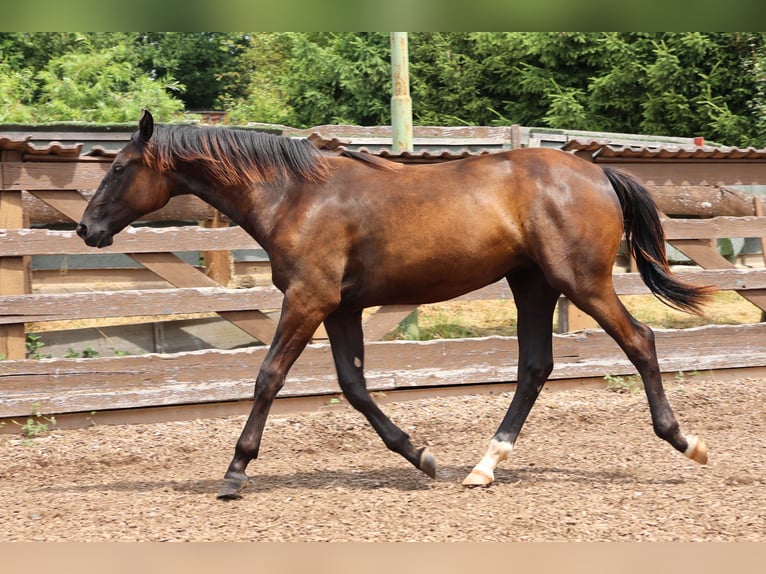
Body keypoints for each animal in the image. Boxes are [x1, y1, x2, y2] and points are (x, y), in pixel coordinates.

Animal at [75, 111, 712, 500]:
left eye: (119, 167)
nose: (86, 229)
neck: (294, 196)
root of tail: (599, 172)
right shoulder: (339, 309)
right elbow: (354, 387)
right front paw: (421, 456)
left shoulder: (307, 300)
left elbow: (268, 377)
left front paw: (234, 473)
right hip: (531, 284)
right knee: (535, 367)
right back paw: (482, 467)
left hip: (580, 282)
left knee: (639, 341)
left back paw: (687, 443)